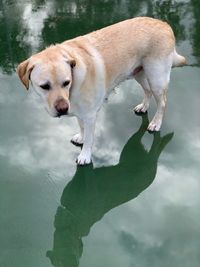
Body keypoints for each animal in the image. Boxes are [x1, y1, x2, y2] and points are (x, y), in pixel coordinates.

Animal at [16, 16, 186, 165]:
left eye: (66, 82)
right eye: (44, 86)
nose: (63, 109)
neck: (74, 83)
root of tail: (164, 24)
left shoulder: (90, 115)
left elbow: (89, 137)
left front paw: (85, 156)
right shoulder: (80, 110)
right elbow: (81, 126)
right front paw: (81, 137)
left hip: (156, 77)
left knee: (162, 102)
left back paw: (156, 123)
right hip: (139, 73)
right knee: (147, 91)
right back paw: (143, 107)